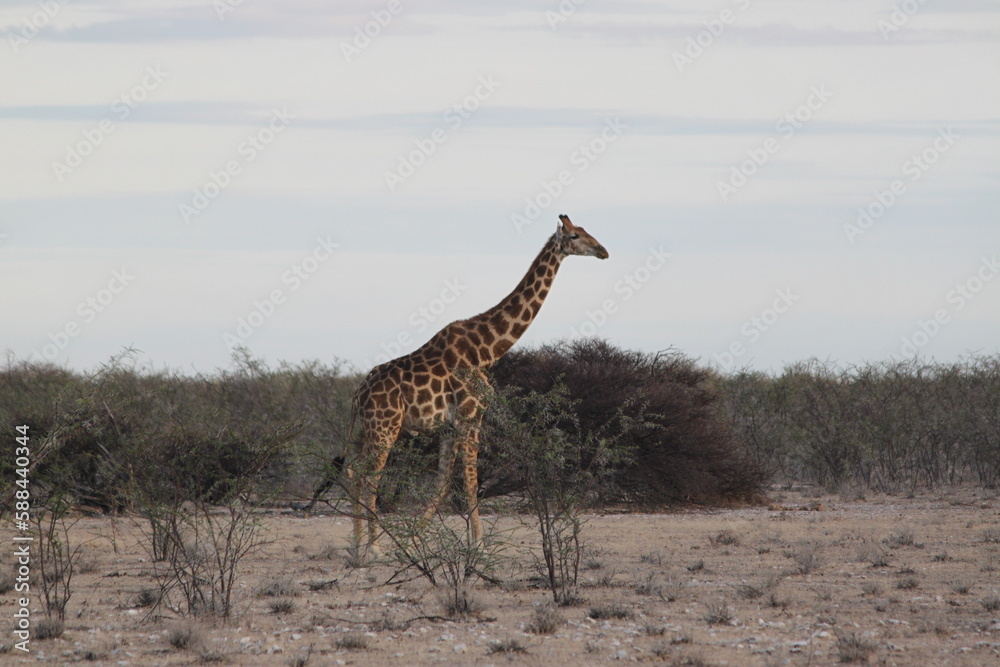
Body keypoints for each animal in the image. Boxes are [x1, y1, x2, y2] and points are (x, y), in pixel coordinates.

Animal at [338, 214, 607, 553]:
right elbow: (470, 480)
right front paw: (477, 544)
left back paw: (356, 545)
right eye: (574, 236)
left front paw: (413, 540)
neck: (486, 349)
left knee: (353, 471)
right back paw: (372, 547)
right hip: (386, 427)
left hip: (366, 429)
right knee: (370, 477)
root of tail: (357, 395)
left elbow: (442, 485)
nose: (603, 251)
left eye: (585, 230)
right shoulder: (471, 414)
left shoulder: (449, 426)